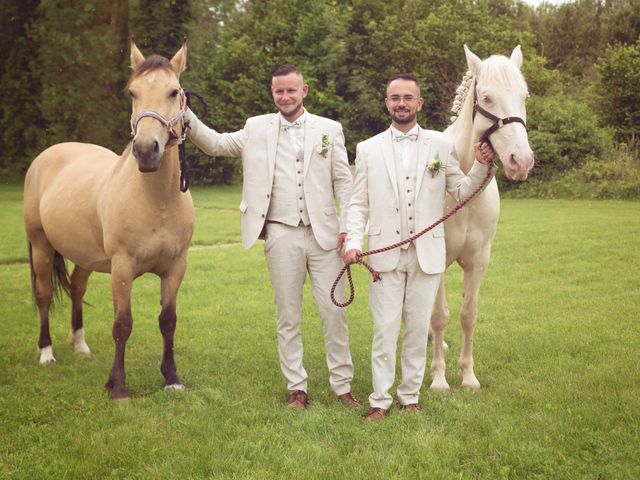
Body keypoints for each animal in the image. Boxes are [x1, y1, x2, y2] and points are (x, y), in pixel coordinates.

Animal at [23, 39, 195, 400]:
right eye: (132, 92)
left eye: (174, 91)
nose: (146, 150)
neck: (157, 200)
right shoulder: (122, 268)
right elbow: (122, 324)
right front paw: (118, 387)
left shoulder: (176, 267)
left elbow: (168, 320)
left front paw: (171, 378)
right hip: (41, 246)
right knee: (44, 295)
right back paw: (46, 353)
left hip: (84, 255)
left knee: (76, 288)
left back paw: (80, 345)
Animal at [430, 44, 536, 390]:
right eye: (487, 98)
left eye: (524, 96)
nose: (521, 160)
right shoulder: (436, 260)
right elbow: (440, 315)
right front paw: (439, 380)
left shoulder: (478, 262)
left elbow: (468, 314)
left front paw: (468, 376)